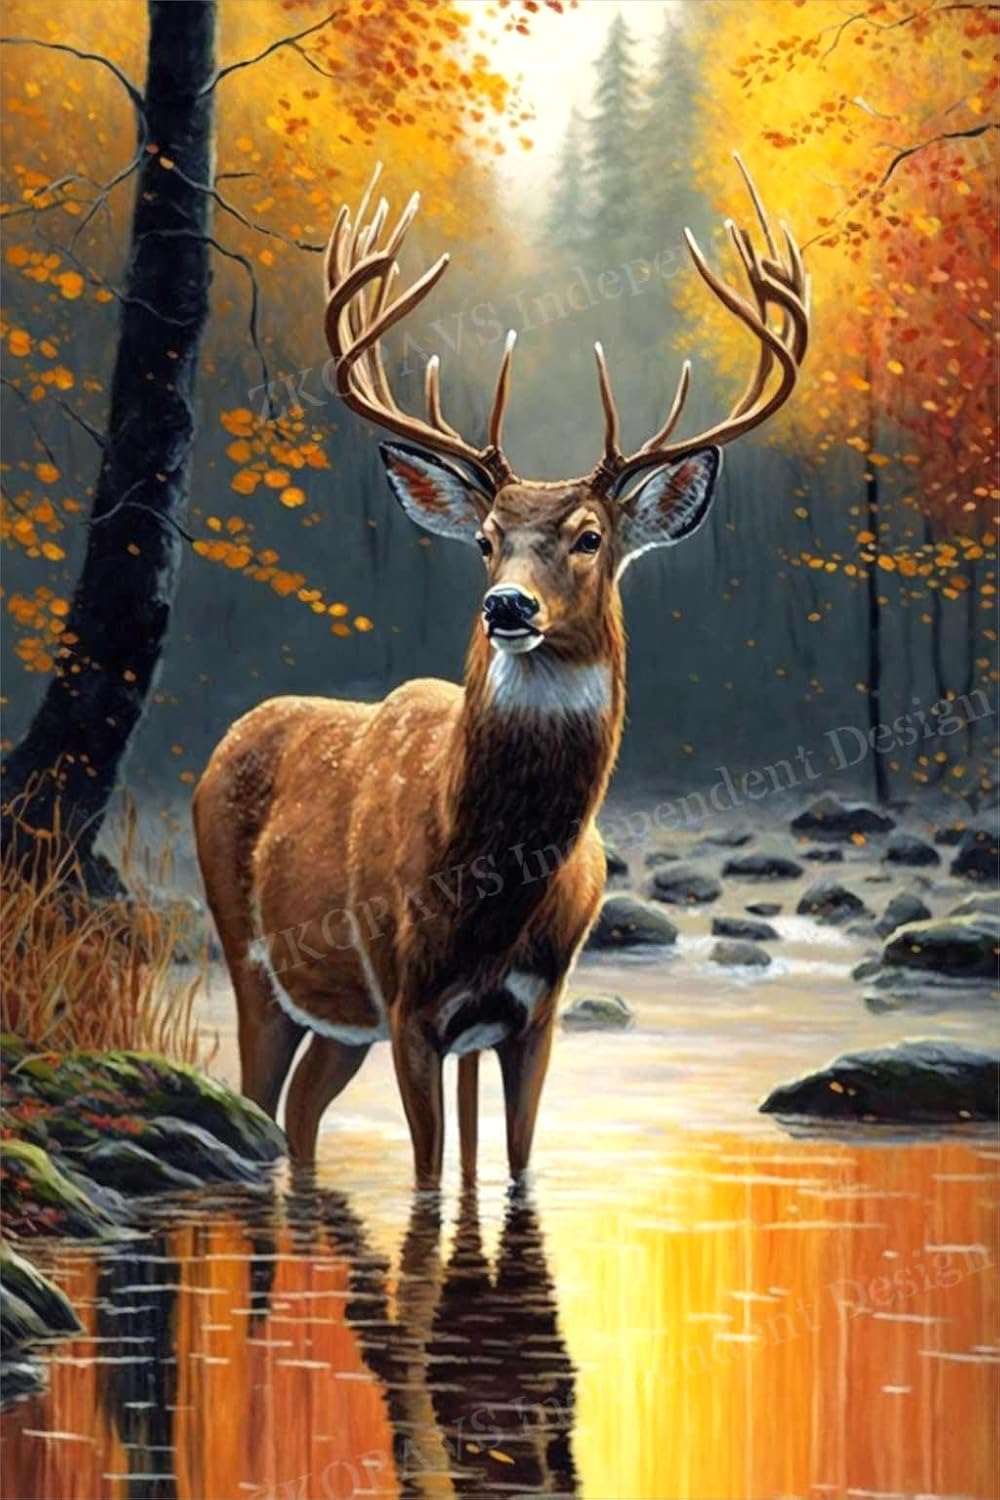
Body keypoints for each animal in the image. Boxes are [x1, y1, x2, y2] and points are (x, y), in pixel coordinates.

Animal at [193, 157, 809, 1190]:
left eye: (591, 537)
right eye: (485, 540)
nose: (508, 607)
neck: (488, 878)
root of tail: (224, 740)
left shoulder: (532, 1012)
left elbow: (512, 1169)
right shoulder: (410, 1003)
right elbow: (432, 1177)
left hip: (343, 1020)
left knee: (306, 1113)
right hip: (252, 957)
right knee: (259, 1102)